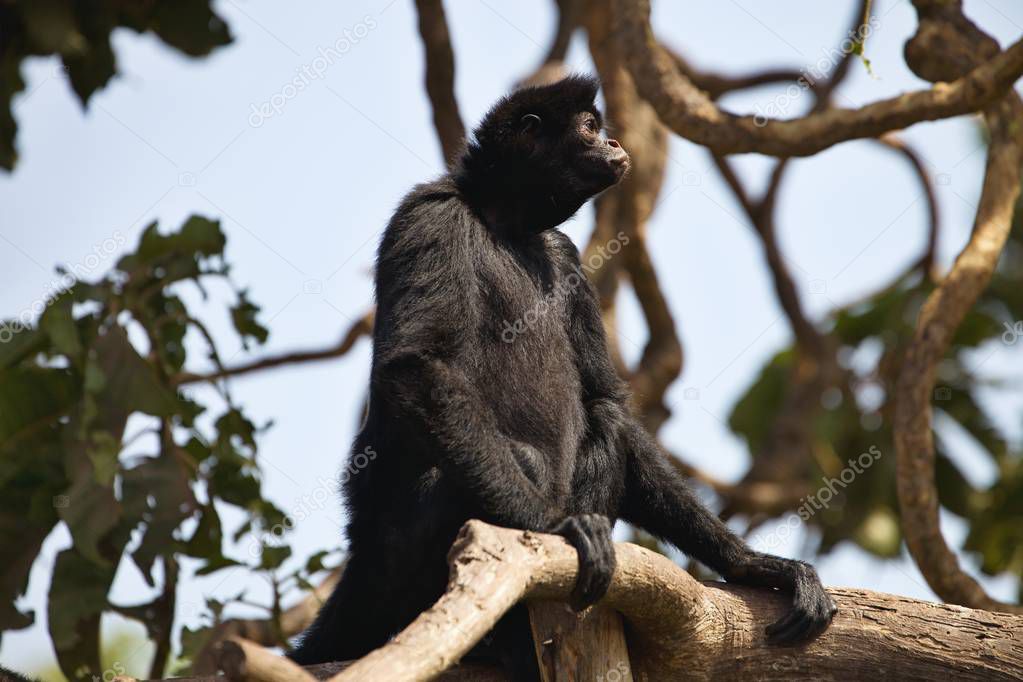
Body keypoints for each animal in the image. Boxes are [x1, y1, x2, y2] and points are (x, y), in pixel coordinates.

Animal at [292, 76, 834, 678]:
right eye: (591, 127)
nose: (615, 141)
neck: (505, 222)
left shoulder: (565, 254)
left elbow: (606, 398)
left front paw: (752, 564)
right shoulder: (431, 215)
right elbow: (415, 366)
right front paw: (553, 529)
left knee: (607, 419)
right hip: (396, 549)